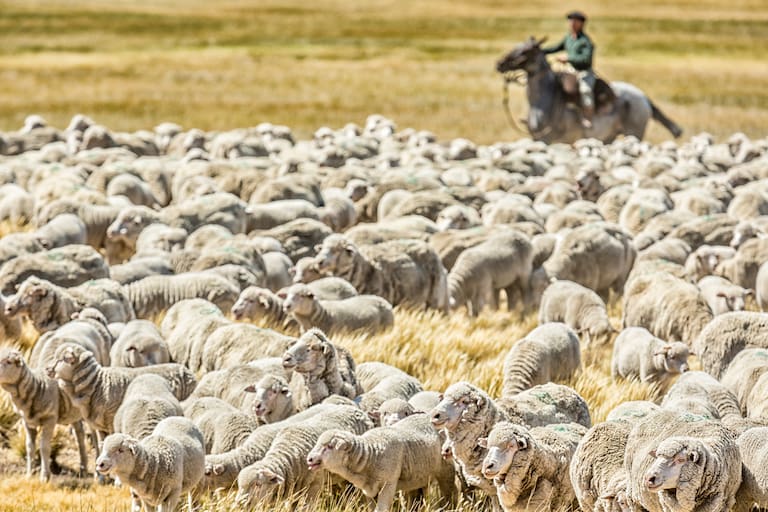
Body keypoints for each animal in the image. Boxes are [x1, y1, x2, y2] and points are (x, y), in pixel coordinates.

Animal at [0, 349, 88, 481]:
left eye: (9, 362)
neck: (37, 387)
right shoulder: (27, 422)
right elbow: (29, 447)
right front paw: (29, 475)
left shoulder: (50, 419)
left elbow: (44, 448)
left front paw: (44, 476)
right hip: (74, 415)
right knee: (80, 435)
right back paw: (83, 469)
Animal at [47, 343, 197, 439]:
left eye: (61, 359)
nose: (47, 369)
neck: (99, 384)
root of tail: (188, 372)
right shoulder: (100, 427)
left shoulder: (111, 420)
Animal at [234, 405, 374, 506]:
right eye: (240, 486)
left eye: (258, 484)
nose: (239, 504)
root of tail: (356, 409)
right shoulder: (294, 491)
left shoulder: (314, 485)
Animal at [306, 414, 457, 512]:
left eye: (330, 446)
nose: (309, 459)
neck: (371, 456)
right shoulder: (369, 490)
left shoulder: (388, 483)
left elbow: (381, 509)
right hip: (419, 475)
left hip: (446, 469)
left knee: (449, 492)